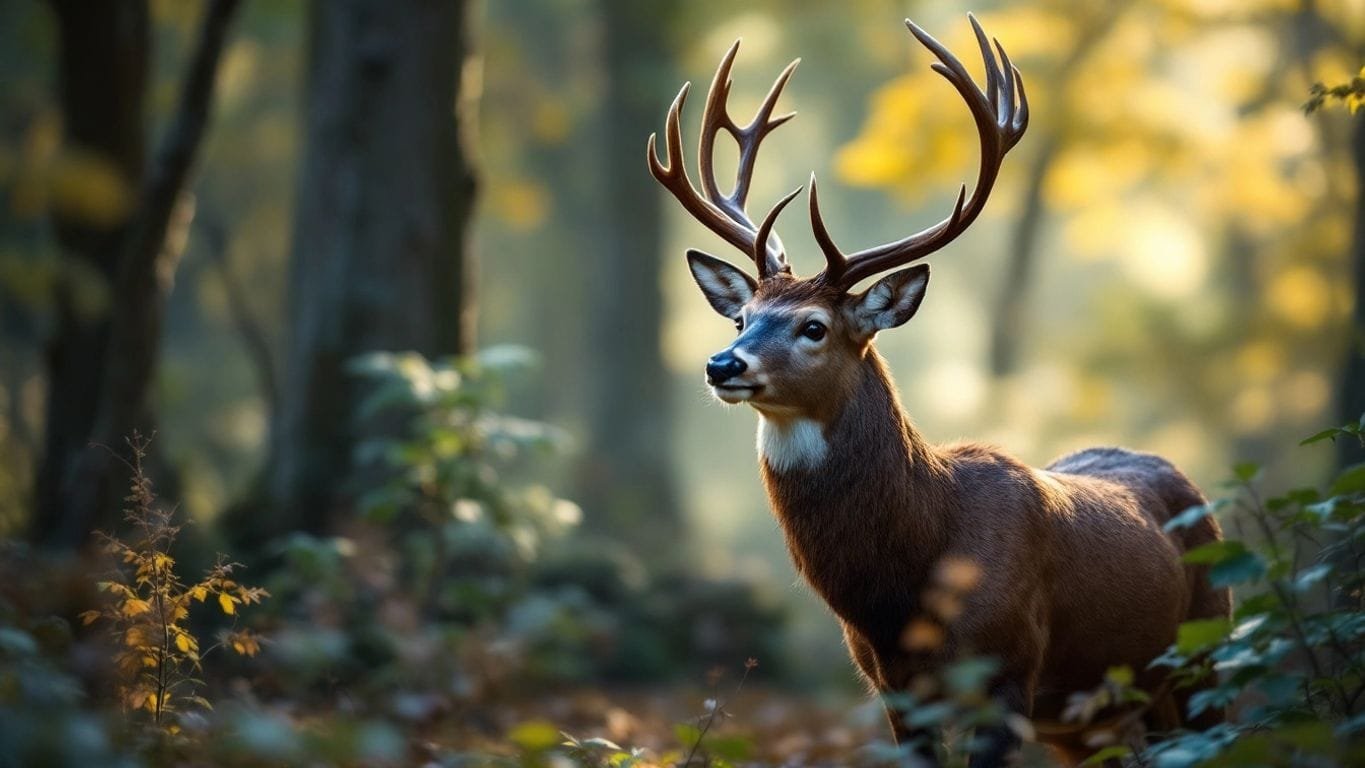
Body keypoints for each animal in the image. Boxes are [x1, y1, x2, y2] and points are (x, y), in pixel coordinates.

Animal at [644, 15, 1233, 763]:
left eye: (813, 327)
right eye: (743, 317)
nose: (724, 364)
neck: (907, 583)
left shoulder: (1008, 664)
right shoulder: (889, 685)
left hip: (1201, 648)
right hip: (1087, 713)